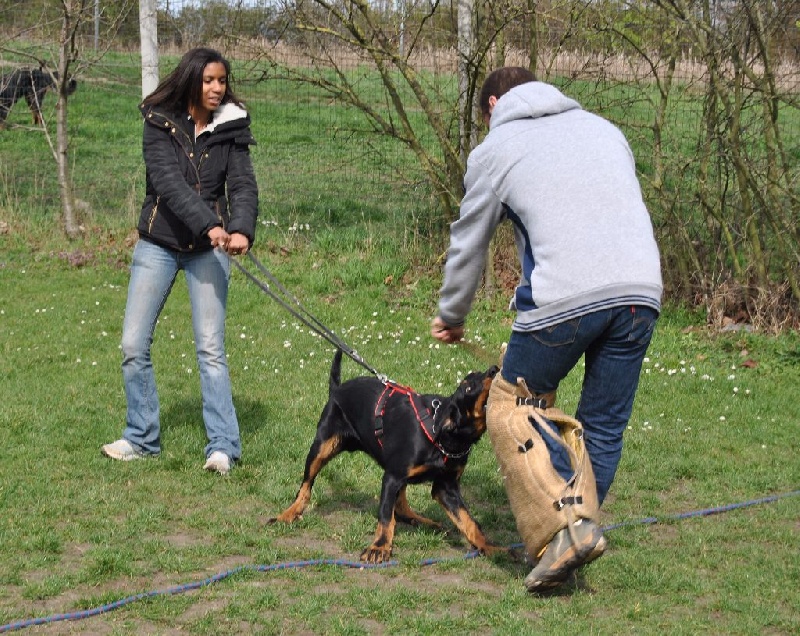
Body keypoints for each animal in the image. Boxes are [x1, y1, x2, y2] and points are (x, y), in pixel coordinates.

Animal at [270, 348, 506, 560]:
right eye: (468, 387)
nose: (495, 369)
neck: (444, 437)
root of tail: (336, 389)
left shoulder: (445, 487)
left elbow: (469, 521)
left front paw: (490, 547)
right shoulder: (392, 476)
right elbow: (384, 516)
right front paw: (380, 547)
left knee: (400, 507)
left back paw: (421, 521)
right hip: (321, 447)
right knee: (306, 486)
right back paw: (288, 514)